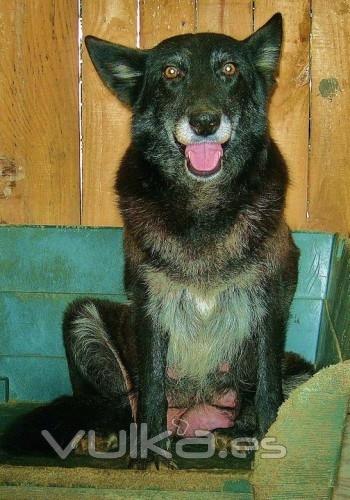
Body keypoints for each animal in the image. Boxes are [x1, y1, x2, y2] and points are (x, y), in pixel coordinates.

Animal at [1, 14, 314, 468]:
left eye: (229, 70)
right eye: (171, 73)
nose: (205, 122)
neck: (202, 209)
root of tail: (189, 418)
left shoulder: (271, 303)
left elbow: (269, 390)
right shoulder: (150, 305)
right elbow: (150, 386)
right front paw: (149, 458)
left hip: (300, 371)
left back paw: (235, 434)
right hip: (82, 319)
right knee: (118, 408)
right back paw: (109, 437)